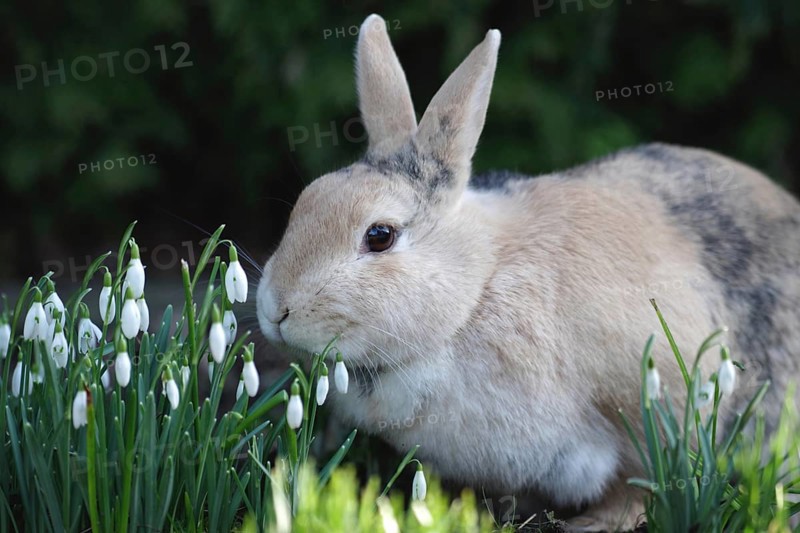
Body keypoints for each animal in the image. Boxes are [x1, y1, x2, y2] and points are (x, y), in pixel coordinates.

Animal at [257, 14, 800, 531]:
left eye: (380, 235)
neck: (476, 291)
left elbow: (639, 480)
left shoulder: (652, 397)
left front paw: (597, 524)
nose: (276, 310)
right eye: (306, 201)